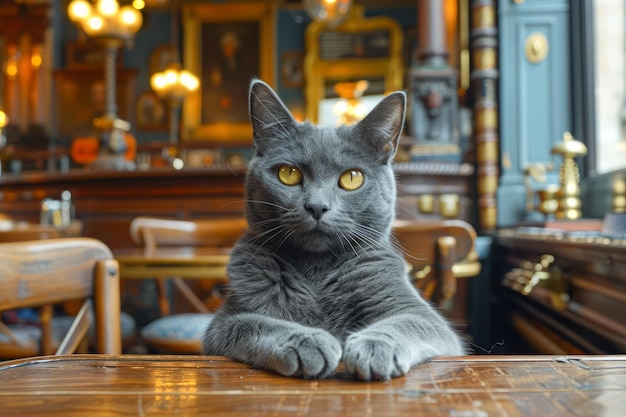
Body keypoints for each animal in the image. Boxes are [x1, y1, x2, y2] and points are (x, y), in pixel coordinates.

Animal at [201, 79, 464, 380]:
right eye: (287, 174)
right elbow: (256, 323)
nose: (317, 206)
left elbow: (407, 323)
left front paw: (373, 348)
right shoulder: (223, 323)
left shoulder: (420, 314)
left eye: (352, 178)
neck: (316, 268)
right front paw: (307, 342)